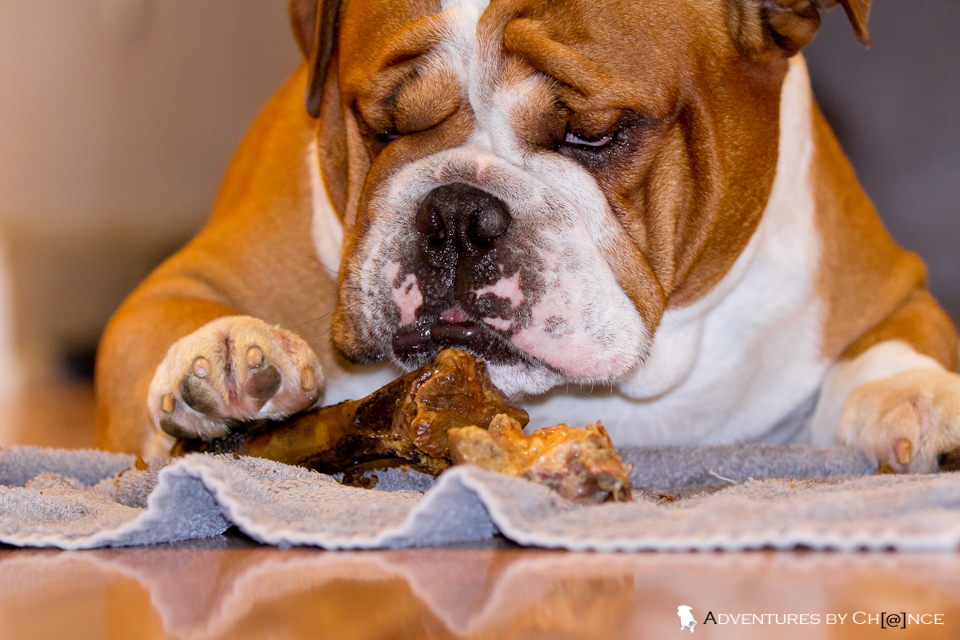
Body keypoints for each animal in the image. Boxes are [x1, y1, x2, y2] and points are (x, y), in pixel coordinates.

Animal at [95, 0, 960, 472]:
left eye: (596, 133)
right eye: (381, 123)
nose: (455, 213)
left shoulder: (889, 287)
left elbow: (888, 351)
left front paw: (919, 401)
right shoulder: (177, 286)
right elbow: (168, 319)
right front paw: (222, 357)